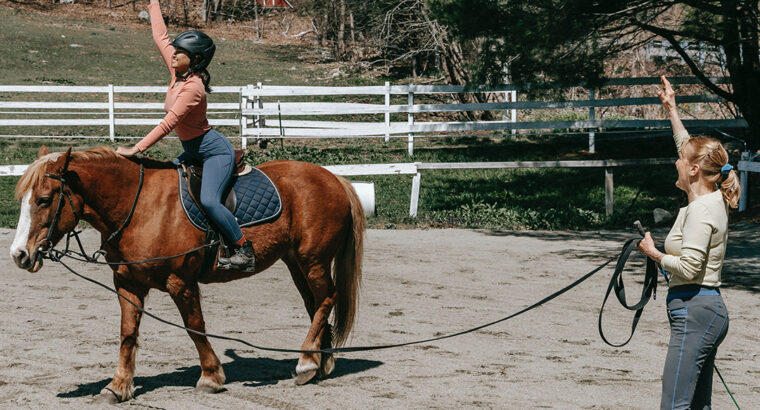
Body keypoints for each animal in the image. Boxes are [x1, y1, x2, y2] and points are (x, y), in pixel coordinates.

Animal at [8, 146, 366, 402]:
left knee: (327, 298)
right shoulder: (127, 284)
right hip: (296, 262)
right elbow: (127, 334)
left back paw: (306, 363)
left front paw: (210, 377)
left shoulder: (180, 282)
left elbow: (194, 327)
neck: (139, 206)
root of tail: (334, 179)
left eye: (44, 200)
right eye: (23, 199)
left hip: (313, 260)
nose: (19, 254)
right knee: (316, 304)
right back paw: (321, 361)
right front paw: (118, 386)